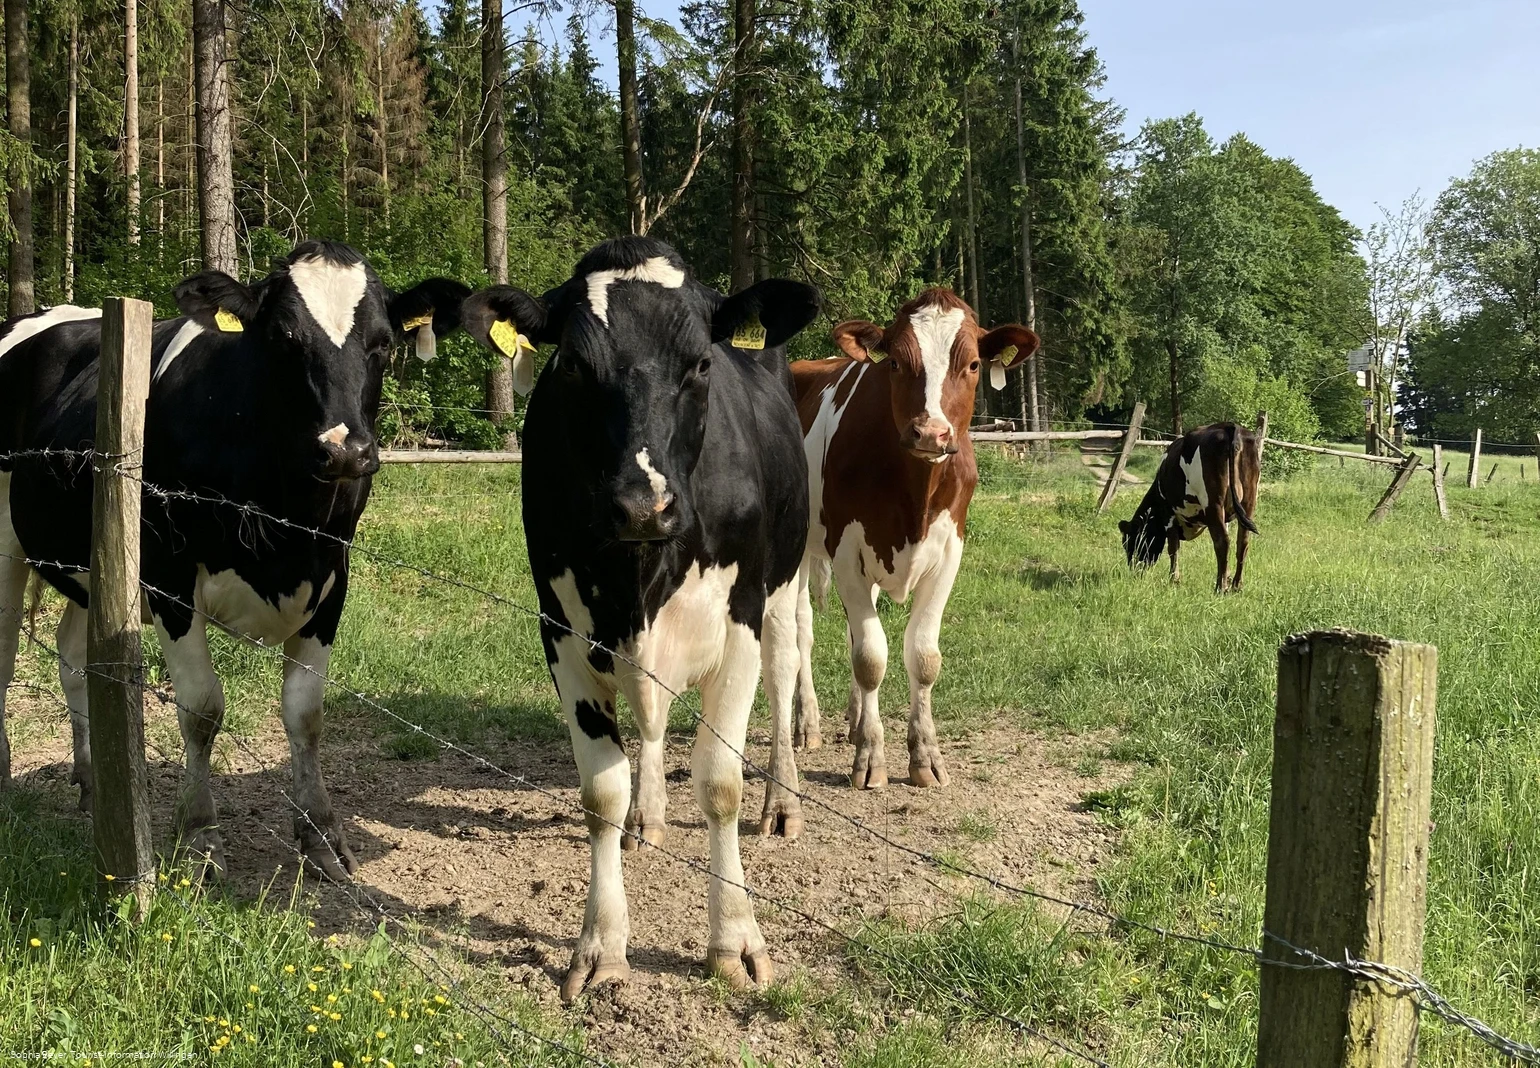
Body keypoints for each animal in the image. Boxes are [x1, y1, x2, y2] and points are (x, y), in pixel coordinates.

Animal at [0, 240, 469, 880]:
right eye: (285, 337)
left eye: (383, 342)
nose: (345, 449)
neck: (284, 525)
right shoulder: (169, 579)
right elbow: (201, 710)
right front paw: (200, 839)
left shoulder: (334, 575)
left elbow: (305, 712)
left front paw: (321, 837)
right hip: (7, 545)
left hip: (91, 565)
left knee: (75, 658)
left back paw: (95, 783)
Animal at [458, 236, 820, 1000]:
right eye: (573, 363)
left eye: (702, 363)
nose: (641, 505)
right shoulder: (560, 629)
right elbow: (602, 790)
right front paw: (601, 945)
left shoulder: (740, 620)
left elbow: (719, 783)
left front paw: (734, 941)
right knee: (650, 723)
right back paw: (647, 816)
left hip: (785, 585)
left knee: (784, 677)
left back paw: (783, 801)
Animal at [777, 288, 1039, 792]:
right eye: (896, 363)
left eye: (972, 364)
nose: (930, 433)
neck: (915, 492)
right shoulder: (846, 551)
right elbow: (870, 658)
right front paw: (871, 758)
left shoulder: (950, 551)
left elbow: (922, 655)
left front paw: (924, 757)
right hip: (801, 545)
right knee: (803, 632)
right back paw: (807, 724)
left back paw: (855, 719)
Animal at [1119, 422, 1261, 592]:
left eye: (1129, 542)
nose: (1133, 570)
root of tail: (1230, 426)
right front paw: (1227, 576)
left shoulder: (1169, 513)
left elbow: (1173, 548)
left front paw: (1174, 580)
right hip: (1249, 501)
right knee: (1243, 542)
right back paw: (1236, 585)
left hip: (1212, 502)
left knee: (1222, 541)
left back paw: (1220, 588)